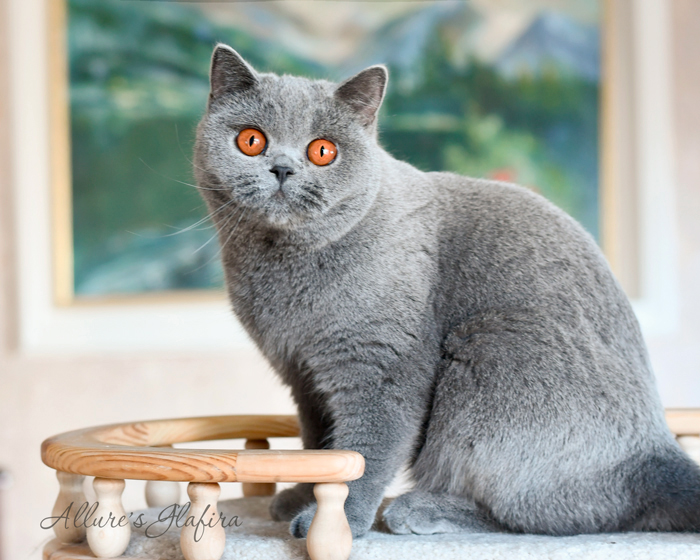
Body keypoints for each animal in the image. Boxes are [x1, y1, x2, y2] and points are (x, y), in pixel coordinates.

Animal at [194, 44, 700, 540]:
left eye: (322, 151)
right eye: (252, 140)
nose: (282, 168)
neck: (284, 274)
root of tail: (657, 454)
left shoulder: (380, 368)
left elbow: (362, 455)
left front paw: (335, 522)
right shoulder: (304, 377)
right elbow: (321, 447)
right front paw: (301, 496)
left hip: (488, 350)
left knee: (548, 513)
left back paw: (416, 509)